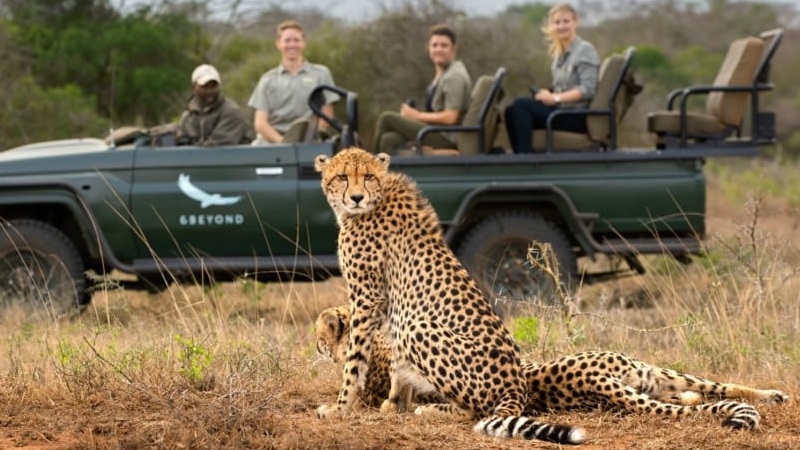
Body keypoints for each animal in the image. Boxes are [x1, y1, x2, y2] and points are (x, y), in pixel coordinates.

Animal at [314, 304, 788, 430]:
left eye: (320, 334)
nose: (315, 346)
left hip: (652, 372)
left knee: (723, 386)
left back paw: (775, 393)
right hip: (654, 380)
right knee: (704, 391)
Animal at [316, 149, 584, 444]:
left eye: (368, 177)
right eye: (342, 176)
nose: (356, 198)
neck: (377, 198)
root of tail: (516, 385)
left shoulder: (367, 299)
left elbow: (354, 361)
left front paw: (339, 408)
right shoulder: (390, 305)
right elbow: (395, 360)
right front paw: (395, 403)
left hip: (419, 328)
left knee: (475, 411)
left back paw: (433, 409)